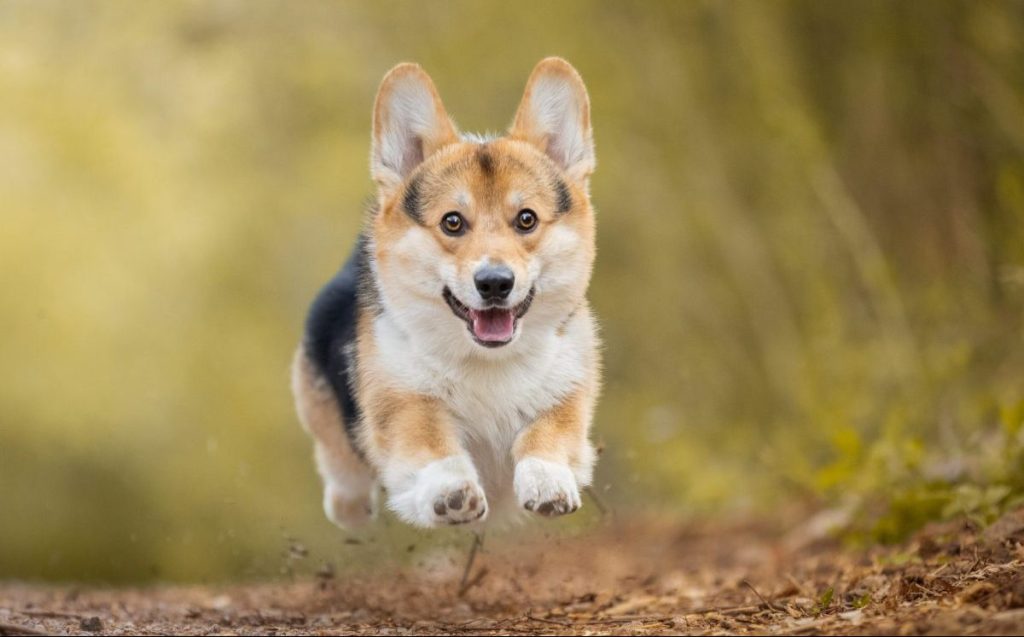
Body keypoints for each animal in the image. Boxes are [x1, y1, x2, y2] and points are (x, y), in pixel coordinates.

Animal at [292, 58, 598, 528]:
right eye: (452, 222)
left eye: (526, 219)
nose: (495, 283)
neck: (488, 363)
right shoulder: (401, 398)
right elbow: (429, 438)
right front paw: (451, 491)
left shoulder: (568, 388)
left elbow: (549, 431)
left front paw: (547, 481)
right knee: (341, 465)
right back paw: (350, 504)